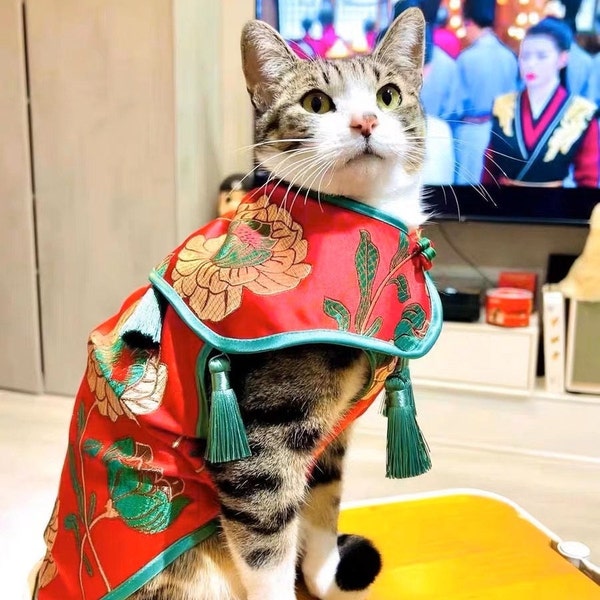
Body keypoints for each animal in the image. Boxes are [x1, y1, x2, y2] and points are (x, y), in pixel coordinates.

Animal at [34, 8, 426, 600]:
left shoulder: (329, 437)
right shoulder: (264, 441)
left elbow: (323, 508)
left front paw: (325, 579)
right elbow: (267, 546)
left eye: (388, 95)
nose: (365, 123)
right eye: (316, 103)